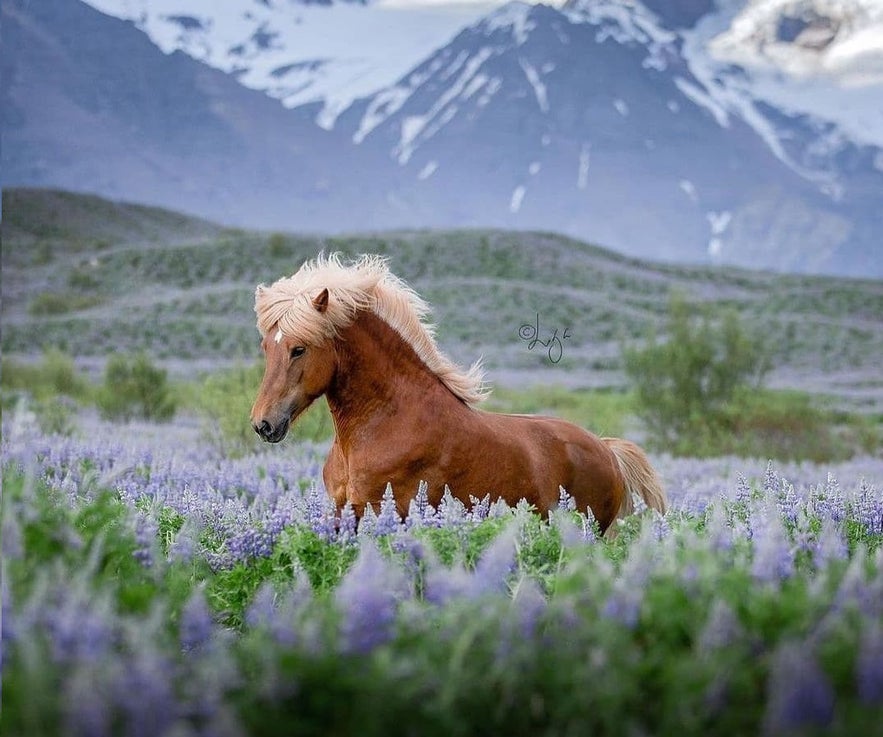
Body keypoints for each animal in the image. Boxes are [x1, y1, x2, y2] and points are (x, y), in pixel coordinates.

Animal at [247, 253, 664, 536]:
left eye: (299, 348)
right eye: (266, 346)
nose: (263, 424)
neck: (388, 421)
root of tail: (606, 449)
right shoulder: (341, 516)